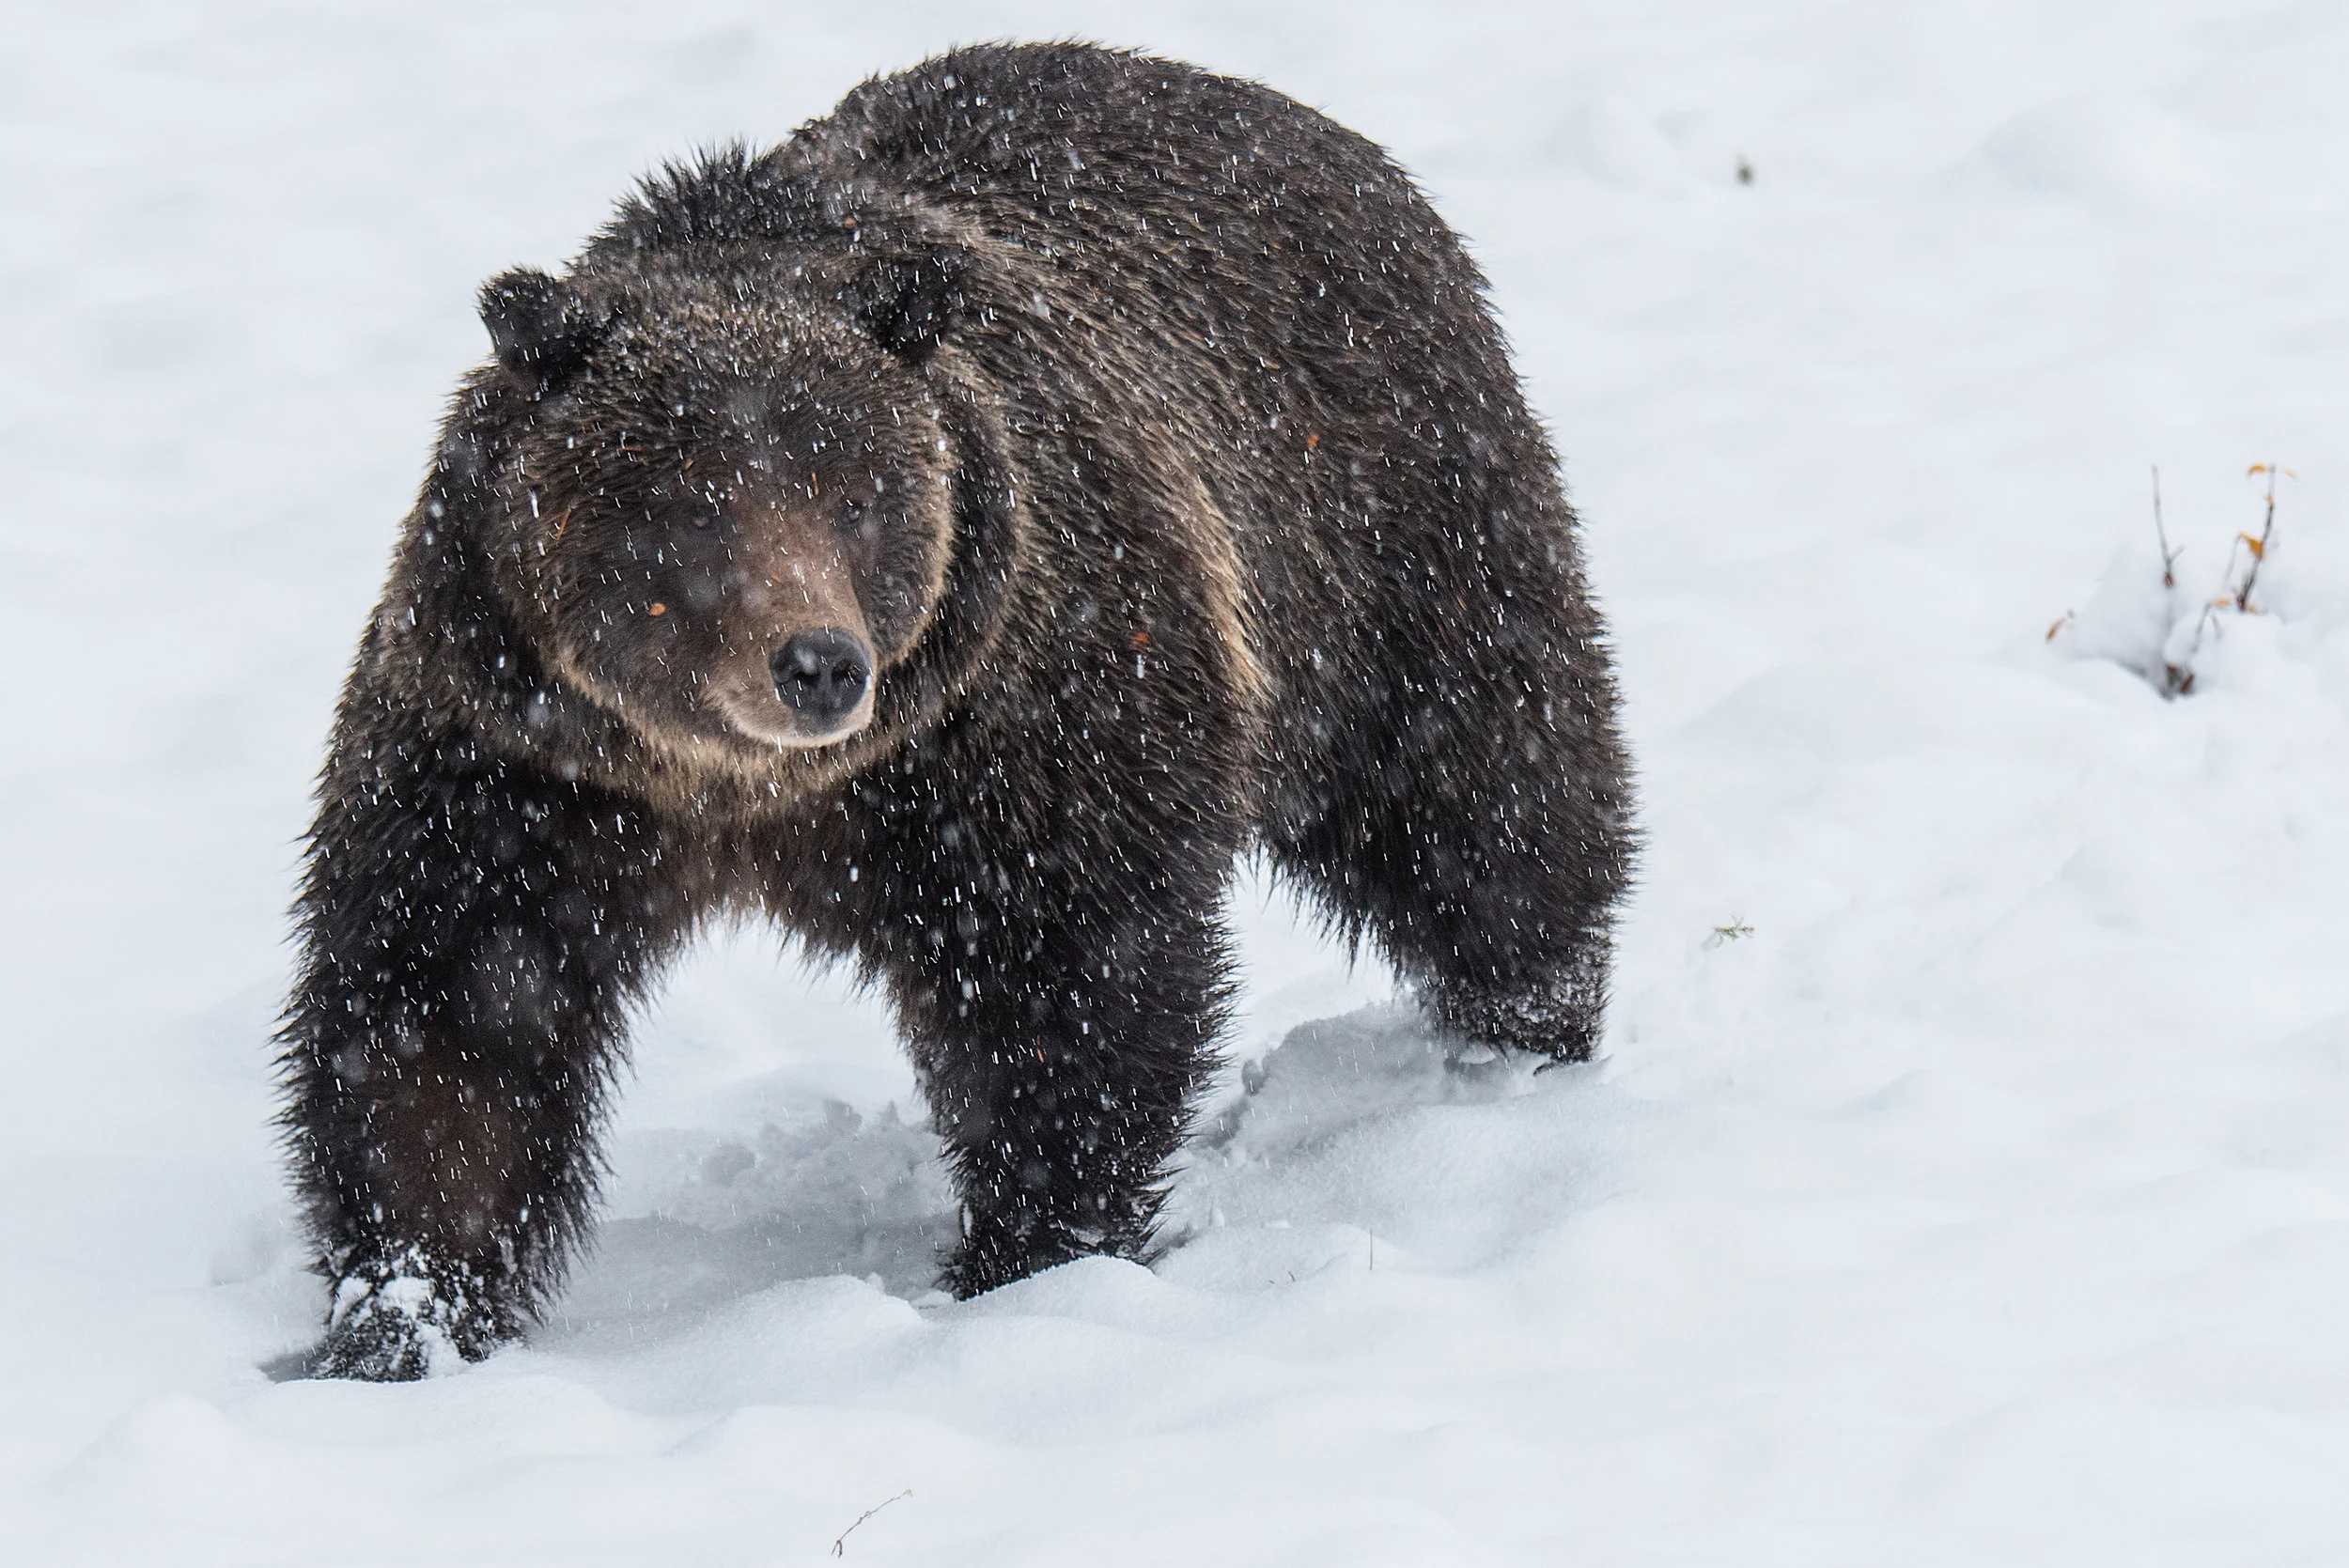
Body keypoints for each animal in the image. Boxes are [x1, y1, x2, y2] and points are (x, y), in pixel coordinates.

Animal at [278, 41, 1633, 1380]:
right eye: (692, 504)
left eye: (856, 493)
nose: (819, 664)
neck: (741, 790)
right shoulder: (518, 760)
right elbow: (449, 1020)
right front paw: (403, 1312)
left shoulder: (1011, 724)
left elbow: (1069, 978)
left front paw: (1030, 1257)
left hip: (1387, 541)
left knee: (1483, 806)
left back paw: (1523, 1033)